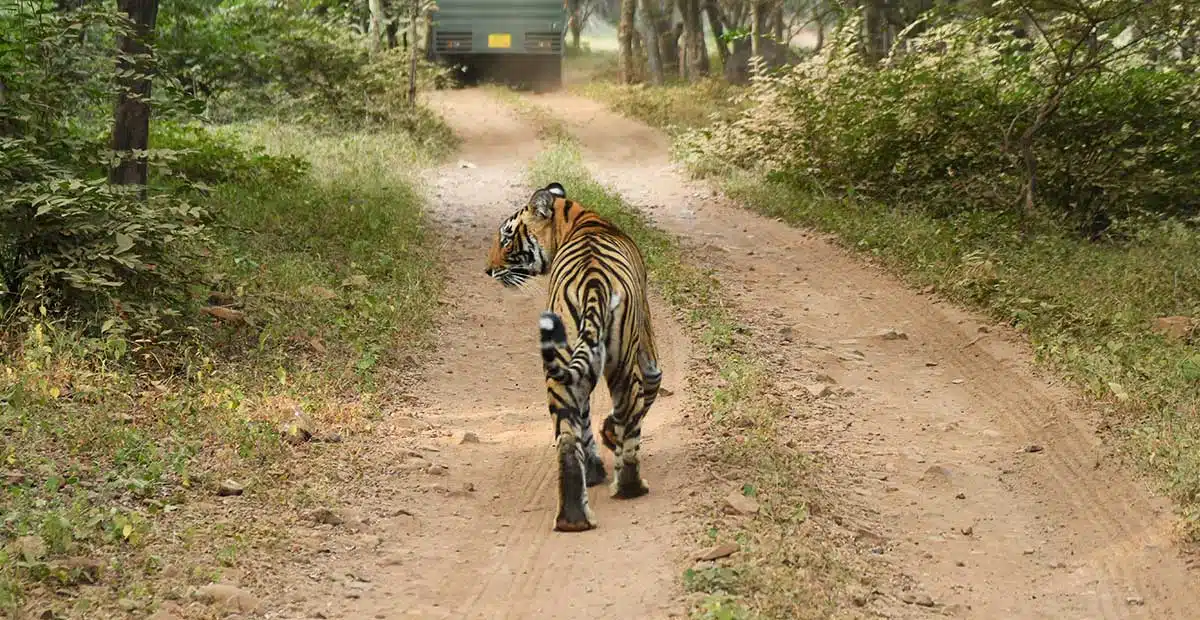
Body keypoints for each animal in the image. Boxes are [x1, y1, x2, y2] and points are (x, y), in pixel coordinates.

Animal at [485, 182, 663, 532]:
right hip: (623, 364)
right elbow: (651, 387)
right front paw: (608, 438)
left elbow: (584, 420)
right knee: (628, 417)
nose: (487, 269)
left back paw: (573, 520)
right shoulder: (646, 346)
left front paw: (595, 465)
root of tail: (593, 282)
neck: (574, 217)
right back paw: (630, 488)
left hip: (562, 365)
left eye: (506, 239)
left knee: (567, 438)